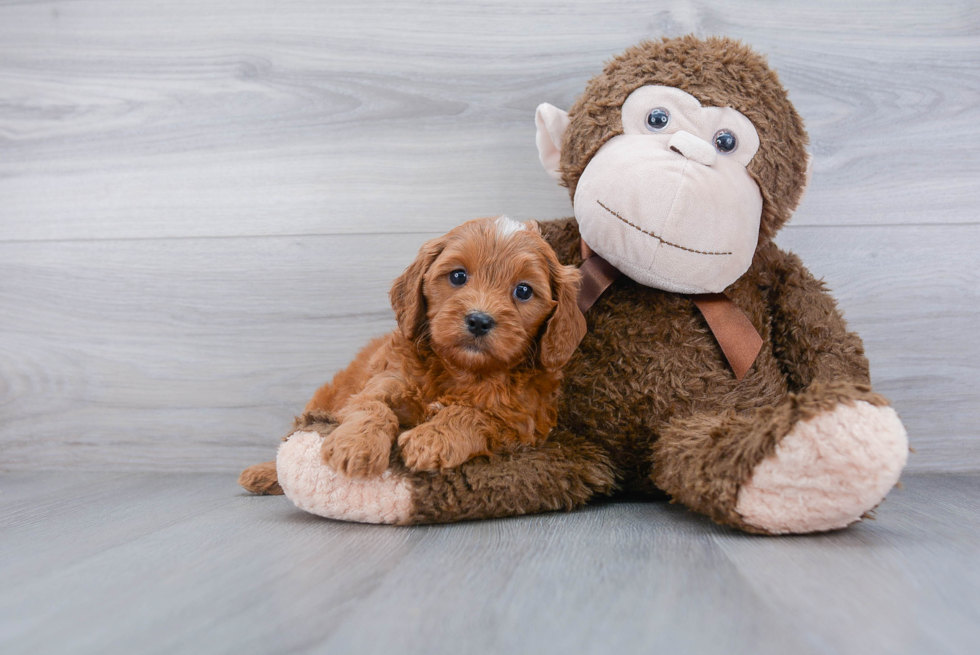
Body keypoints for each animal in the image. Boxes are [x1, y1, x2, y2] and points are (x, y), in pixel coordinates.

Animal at [302, 218, 584, 480]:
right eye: (458, 276)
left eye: (524, 290)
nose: (479, 321)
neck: (461, 370)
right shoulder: (387, 379)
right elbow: (370, 403)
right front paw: (357, 444)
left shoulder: (522, 423)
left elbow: (473, 414)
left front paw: (432, 439)